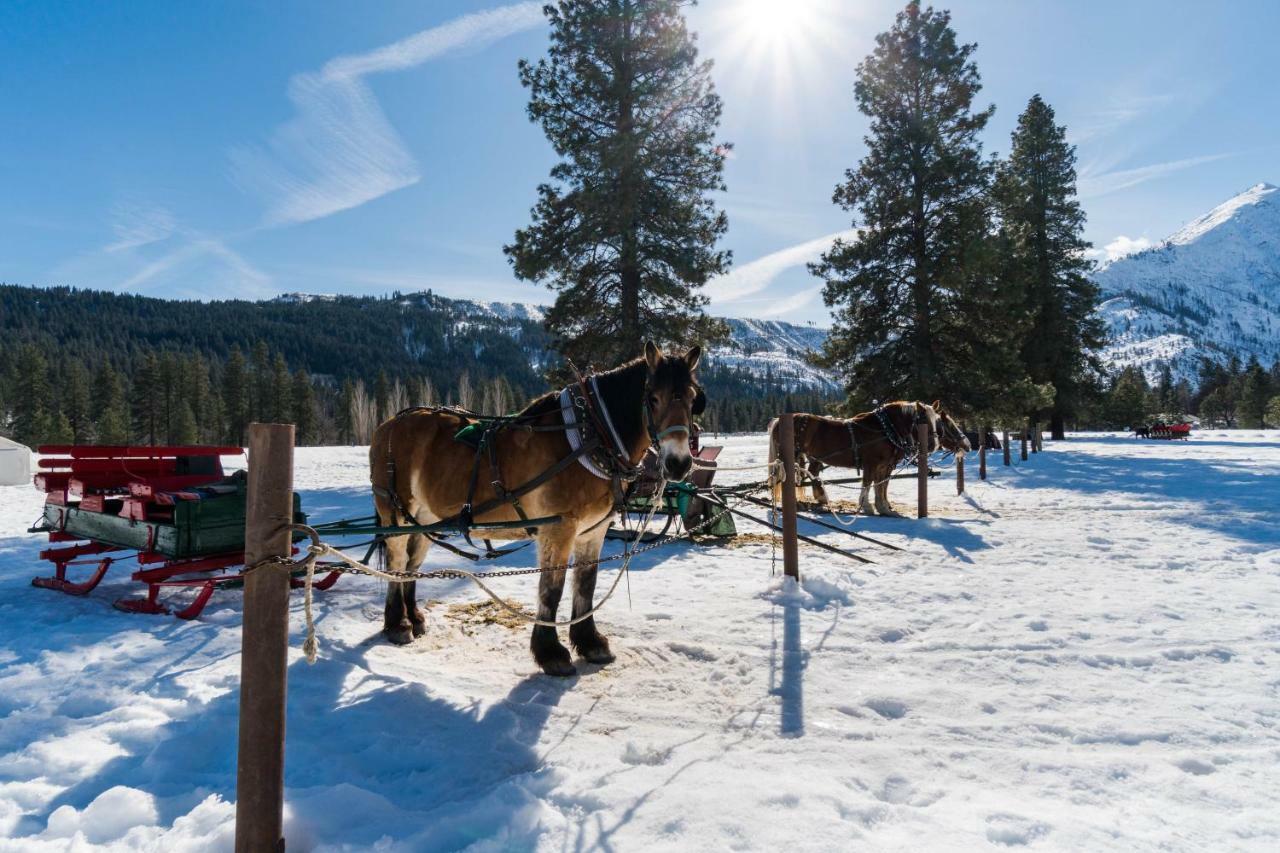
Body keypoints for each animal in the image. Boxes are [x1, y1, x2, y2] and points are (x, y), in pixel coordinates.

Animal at [366, 343, 706, 676]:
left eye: (692, 398)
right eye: (653, 398)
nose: (679, 463)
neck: (589, 437)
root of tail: (387, 425)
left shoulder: (594, 530)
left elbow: (586, 585)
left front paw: (591, 643)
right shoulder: (558, 528)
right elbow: (551, 590)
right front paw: (550, 653)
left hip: (426, 519)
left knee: (412, 563)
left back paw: (414, 617)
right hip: (396, 513)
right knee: (396, 561)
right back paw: (398, 624)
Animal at [768, 402, 967, 514]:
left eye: (938, 422)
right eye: (947, 424)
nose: (967, 444)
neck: (885, 430)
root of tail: (779, 420)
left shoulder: (886, 465)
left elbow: (882, 485)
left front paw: (884, 507)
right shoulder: (872, 463)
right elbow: (869, 483)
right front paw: (868, 507)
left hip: (813, 457)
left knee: (811, 474)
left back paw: (821, 498)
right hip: (791, 457)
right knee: (788, 479)